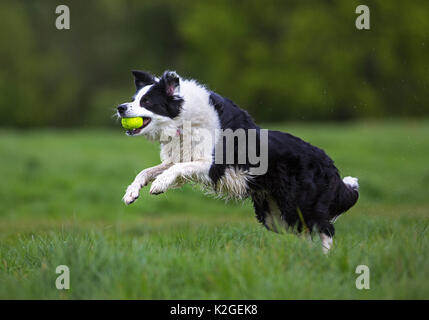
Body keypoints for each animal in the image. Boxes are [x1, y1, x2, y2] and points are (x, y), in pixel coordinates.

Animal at [118, 70, 358, 252]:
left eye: (147, 101)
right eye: (133, 99)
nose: (120, 107)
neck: (183, 120)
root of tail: (329, 163)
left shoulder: (212, 164)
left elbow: (176, 168)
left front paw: (159, 185)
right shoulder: (182, 156)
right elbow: (147, 171)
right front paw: (131, 193)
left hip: (301, 203)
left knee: (325, 228)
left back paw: (324, 257)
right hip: (275, 216)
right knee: (305, 232)